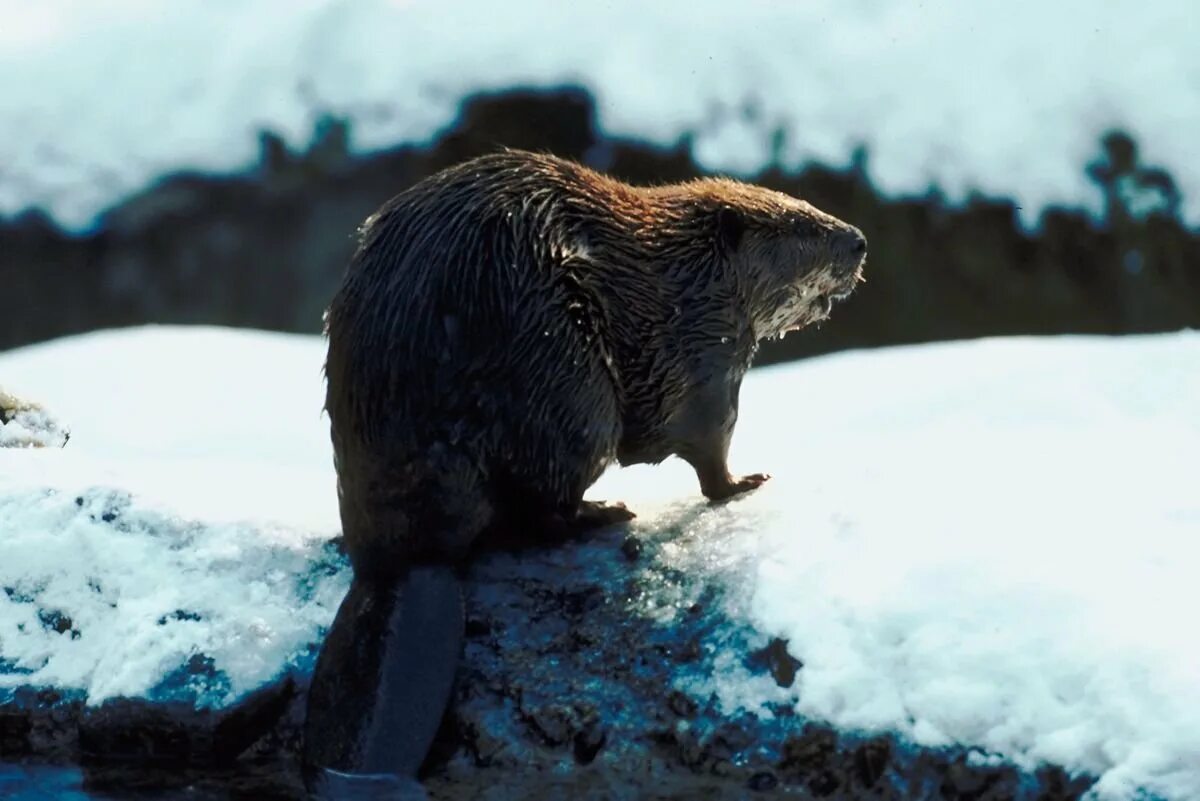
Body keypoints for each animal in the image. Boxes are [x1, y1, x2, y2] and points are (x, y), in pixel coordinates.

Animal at [300, 149, 864, 796]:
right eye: (801, 225)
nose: (858, 241)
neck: (690, 263)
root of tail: (404, 564)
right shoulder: (705, 341)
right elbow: (707, 434)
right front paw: (746, 483)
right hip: (568, 382)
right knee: (546, 507)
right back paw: (609, 510)